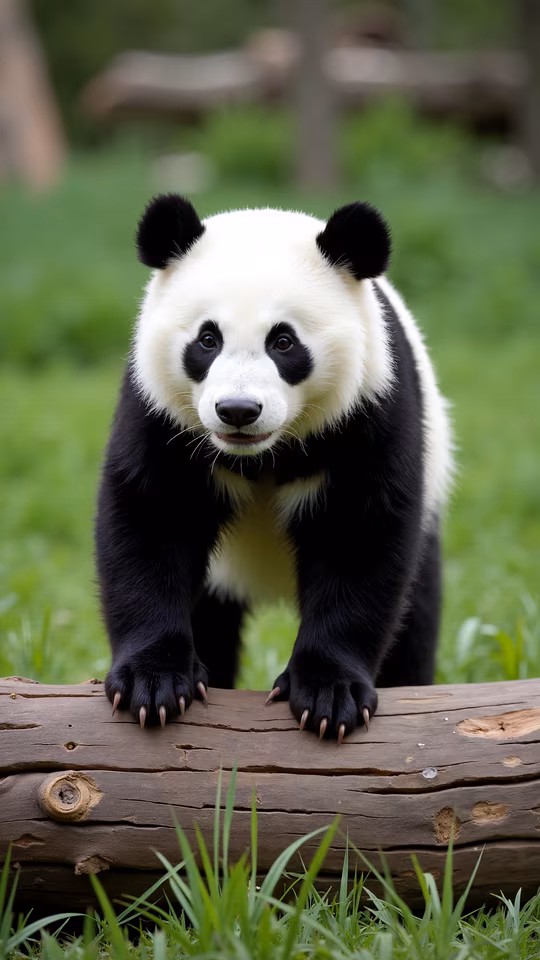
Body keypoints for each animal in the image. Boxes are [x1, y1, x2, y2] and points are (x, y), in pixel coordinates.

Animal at [96, 194, 452, 741]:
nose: (238, 410)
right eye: (207, 339)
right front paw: (151, 684)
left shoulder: (371, 406)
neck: (264, 453)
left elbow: (359, 538)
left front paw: (329, 695)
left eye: (283, 342)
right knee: (213, 618)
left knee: (416, 615)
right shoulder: (158, 410)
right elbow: (150, 519)